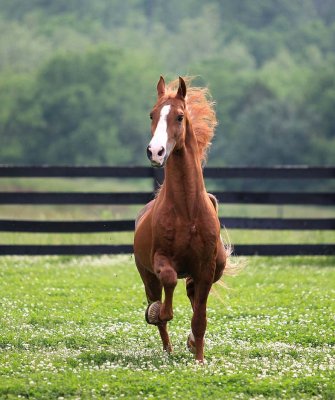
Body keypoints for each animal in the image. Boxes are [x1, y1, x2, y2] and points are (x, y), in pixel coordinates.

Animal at [133, 76, 228, 362]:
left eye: (179, 116)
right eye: (152, 114)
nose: (155, 151)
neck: (187, 211)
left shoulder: (206, 268)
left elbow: (200, 319)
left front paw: (199, 359)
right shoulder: (161, 259)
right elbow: (169, 282)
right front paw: (157, 313)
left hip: (215, 267)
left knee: (193, 295)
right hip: (146, 275)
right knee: (163, 295)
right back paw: (167, 346)